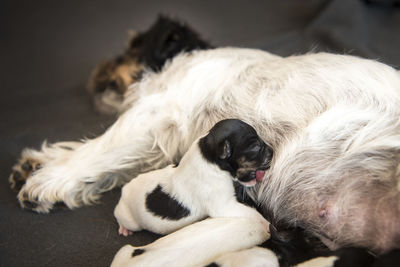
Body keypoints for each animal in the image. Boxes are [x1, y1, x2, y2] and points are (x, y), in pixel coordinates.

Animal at [114, 119, 274, 237]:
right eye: (255, 146)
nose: (273, 151)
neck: (208, 156)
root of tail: (124, 190)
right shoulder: (224, 206)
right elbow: (251, 212)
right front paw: (266, 223)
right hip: (129, 218)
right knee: (119, 217)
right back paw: (124, 229)